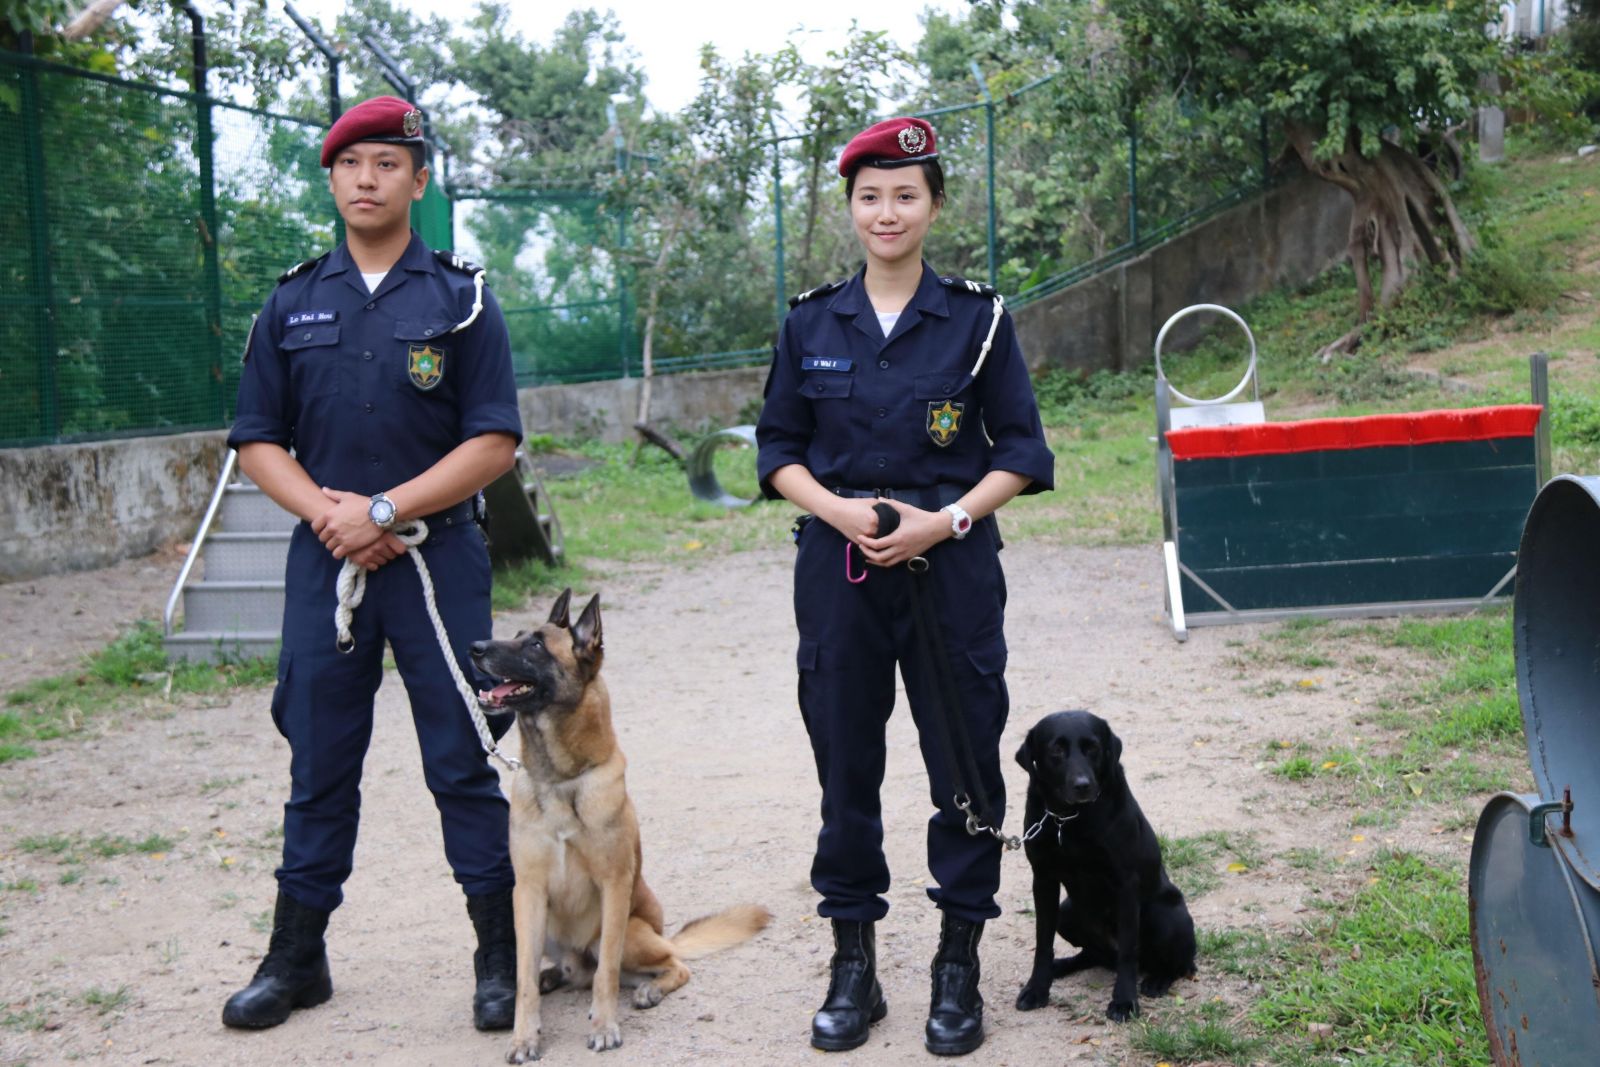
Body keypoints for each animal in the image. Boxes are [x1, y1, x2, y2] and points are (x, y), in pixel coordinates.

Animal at [467, 588, 768, 1062]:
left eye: (535, 645)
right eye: (514, 634)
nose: (474, 648)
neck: (561, 779)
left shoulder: (613, 887)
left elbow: (606, 973)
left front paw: (605, 1026)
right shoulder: (527, 892)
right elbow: (523, 980)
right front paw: (524, 1037)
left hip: (632, 934)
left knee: (667, 966)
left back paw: (650, 989)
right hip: (541, 926)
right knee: (567, 972)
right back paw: (555, 975)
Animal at [1011, 713, 1190, 1023]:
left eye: (1093, 747)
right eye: (1056, 750)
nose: (1083, 785)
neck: (1069, 819)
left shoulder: (1125, 884)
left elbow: (1129, 950)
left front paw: (1124, 1002)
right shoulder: (1043, 879)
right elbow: (1042, 942)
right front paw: (1037, 989)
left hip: (1166, 916)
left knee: (1175, 964)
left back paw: (1157, 980)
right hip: (1067, 912)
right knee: (1091, 954)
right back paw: (1062, 966)